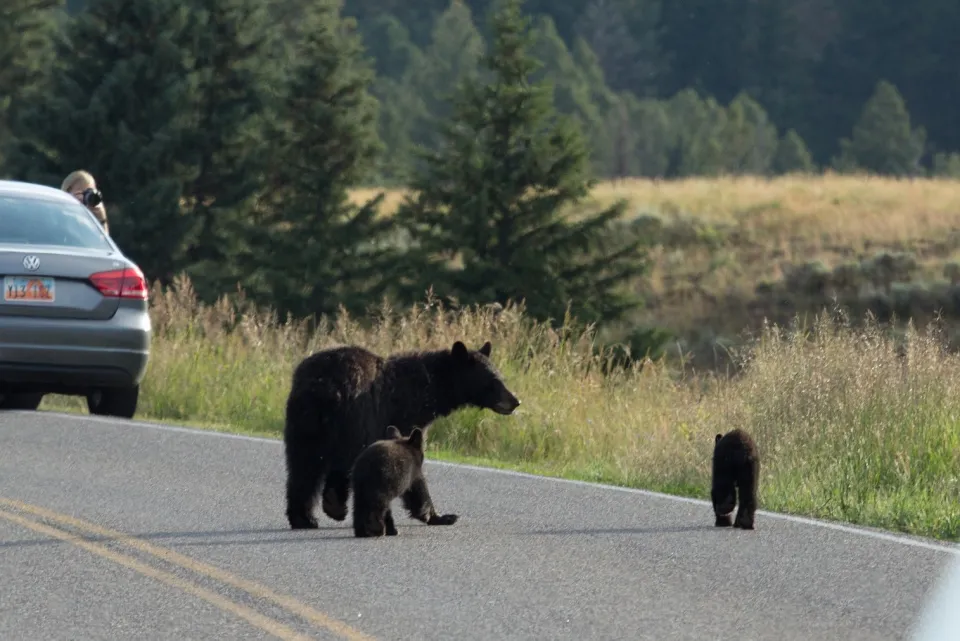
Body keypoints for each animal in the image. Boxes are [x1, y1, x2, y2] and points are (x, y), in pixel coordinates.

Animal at [283, 339, 520, 530]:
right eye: (492, 380)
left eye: (500, 376)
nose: (515, 400)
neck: (429, 391)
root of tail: (321, 385)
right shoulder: (402, 419)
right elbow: (413, 467)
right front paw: (439, 516)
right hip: (352, 418)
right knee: (333, 462)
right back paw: (332, 506)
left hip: (303, 424)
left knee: (302, 468)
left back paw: (304, 518)